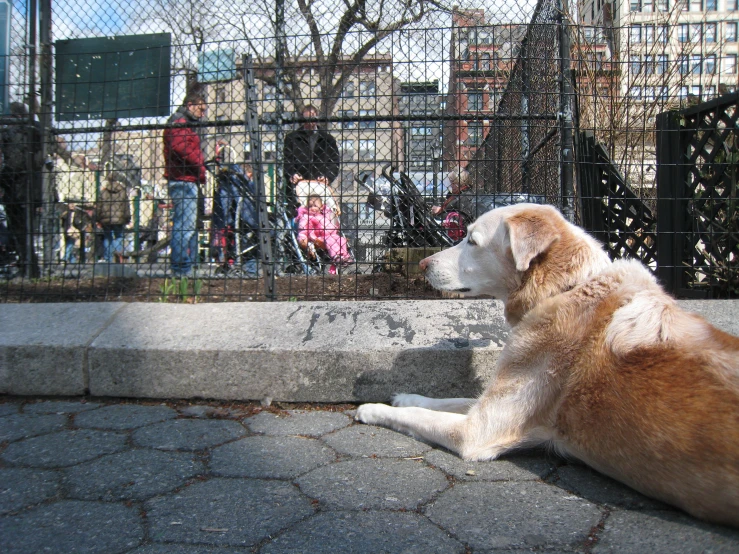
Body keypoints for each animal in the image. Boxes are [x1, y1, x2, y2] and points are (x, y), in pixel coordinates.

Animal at [356, 203, 736, 528]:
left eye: (472, 240)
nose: (423, 265)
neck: (564, 289)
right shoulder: (492, 402)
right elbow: (445, 400)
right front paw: (404, 397)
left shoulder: (477, 431)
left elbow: (419, 416)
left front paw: (372, 409)